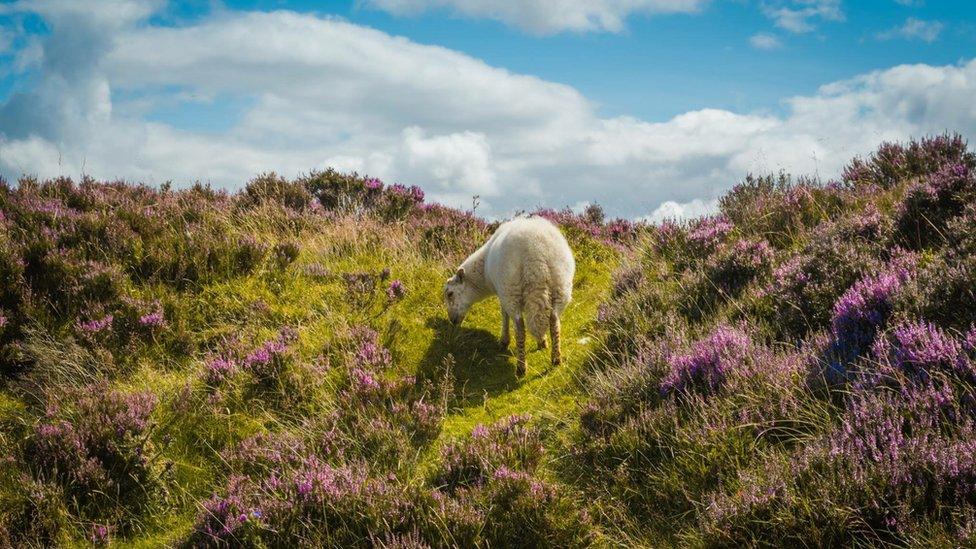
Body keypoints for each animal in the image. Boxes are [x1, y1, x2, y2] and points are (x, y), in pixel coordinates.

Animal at [442, 214, 572, 376]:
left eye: (450, 294)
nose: (452, 321)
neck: (483, 274)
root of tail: (537, 255)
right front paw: (542, 341)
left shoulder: (502, 292)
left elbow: (504, 315)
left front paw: (504, 340)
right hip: (561, 287)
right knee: (554, 321)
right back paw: (556, 358)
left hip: (512, 290)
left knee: (520, 328)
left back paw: (521, 368)